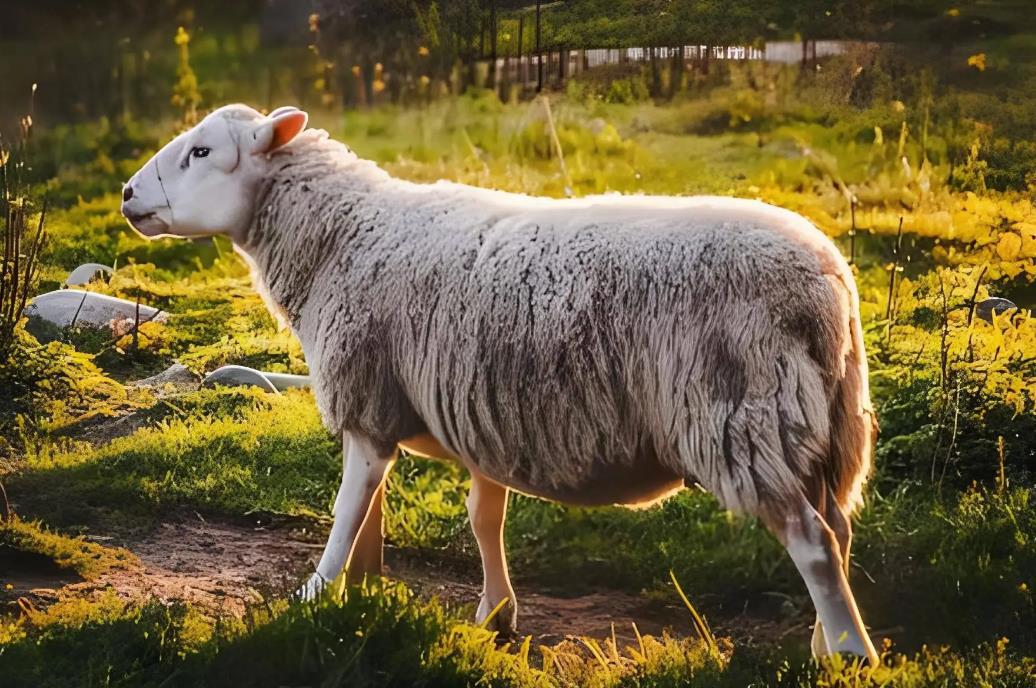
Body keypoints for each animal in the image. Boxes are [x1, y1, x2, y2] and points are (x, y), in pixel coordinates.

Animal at [123, 103, 882, 663]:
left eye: (201, 153)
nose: (128, 195)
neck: (344, 235)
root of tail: (826, 282)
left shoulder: (368, 400)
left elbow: (347, 513)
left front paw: (316, 594)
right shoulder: (479, 407)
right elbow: (478, 515)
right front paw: (479, 612)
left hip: (740, 415)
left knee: (812, 541)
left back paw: (851, 654)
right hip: (817, 423)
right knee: (839, 531)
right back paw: (826, 642)